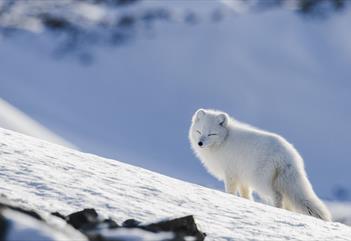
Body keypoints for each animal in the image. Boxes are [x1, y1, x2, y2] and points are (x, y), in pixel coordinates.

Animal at [191, 108, 332, 221]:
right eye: (199, 131)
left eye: (211, 134)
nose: (200, 143)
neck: (224, 140)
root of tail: (287, 155)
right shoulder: (243, 178)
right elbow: (246, 195)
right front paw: (246, 202)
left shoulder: (231, 174)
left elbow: (231, 192)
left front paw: (230, 199)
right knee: (288, 200)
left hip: (260, 181)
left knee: (278, 196)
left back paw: (277, 209)